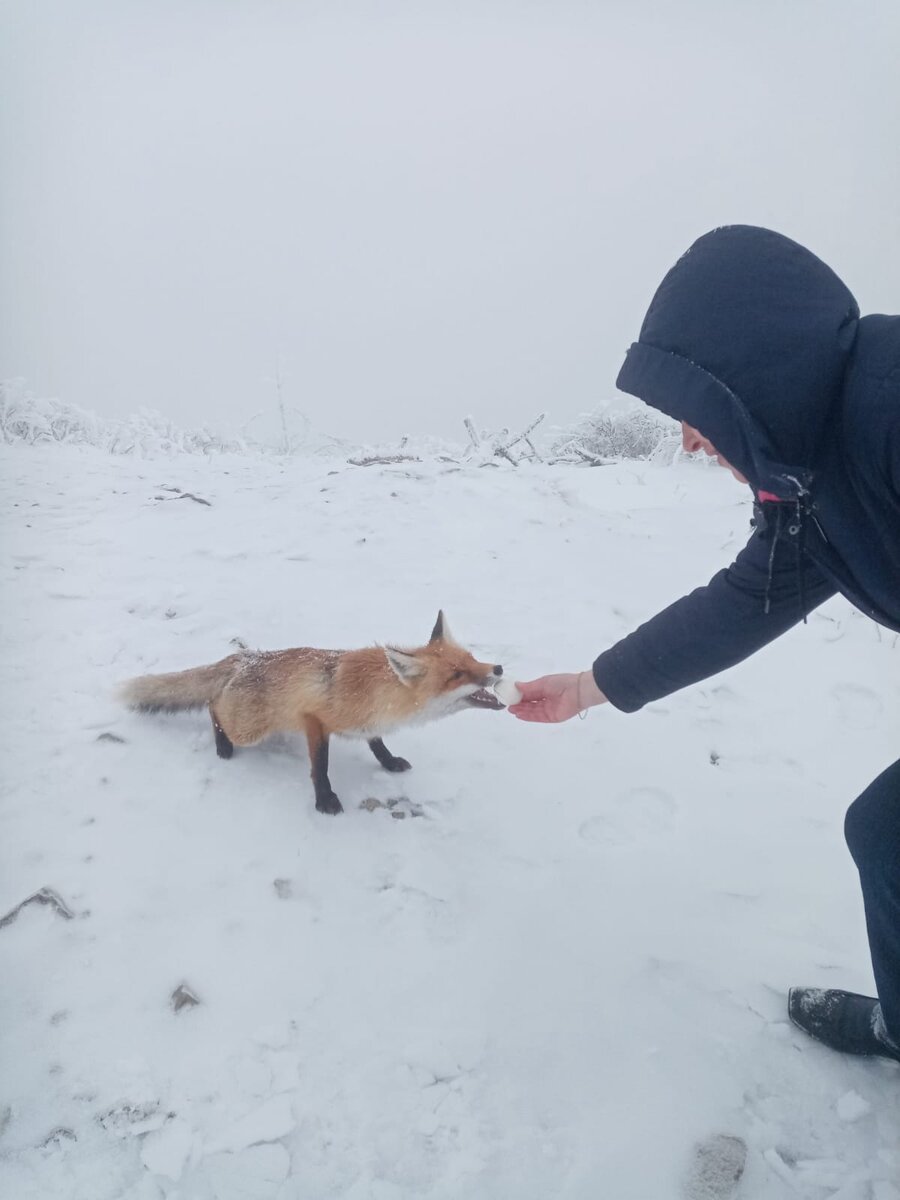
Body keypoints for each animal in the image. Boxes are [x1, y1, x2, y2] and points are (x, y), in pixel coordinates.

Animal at [118, 609, 508, 816]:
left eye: (472, 659)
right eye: (456, 675)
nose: (499, 668)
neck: (380, 695)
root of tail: (245, 657)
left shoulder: (366, 723)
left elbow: (376, 743)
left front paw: (389, 761)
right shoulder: (314, 720)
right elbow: (320, 767)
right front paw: (325, 800)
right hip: (249, 729)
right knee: (213, 706)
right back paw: (222, 745)